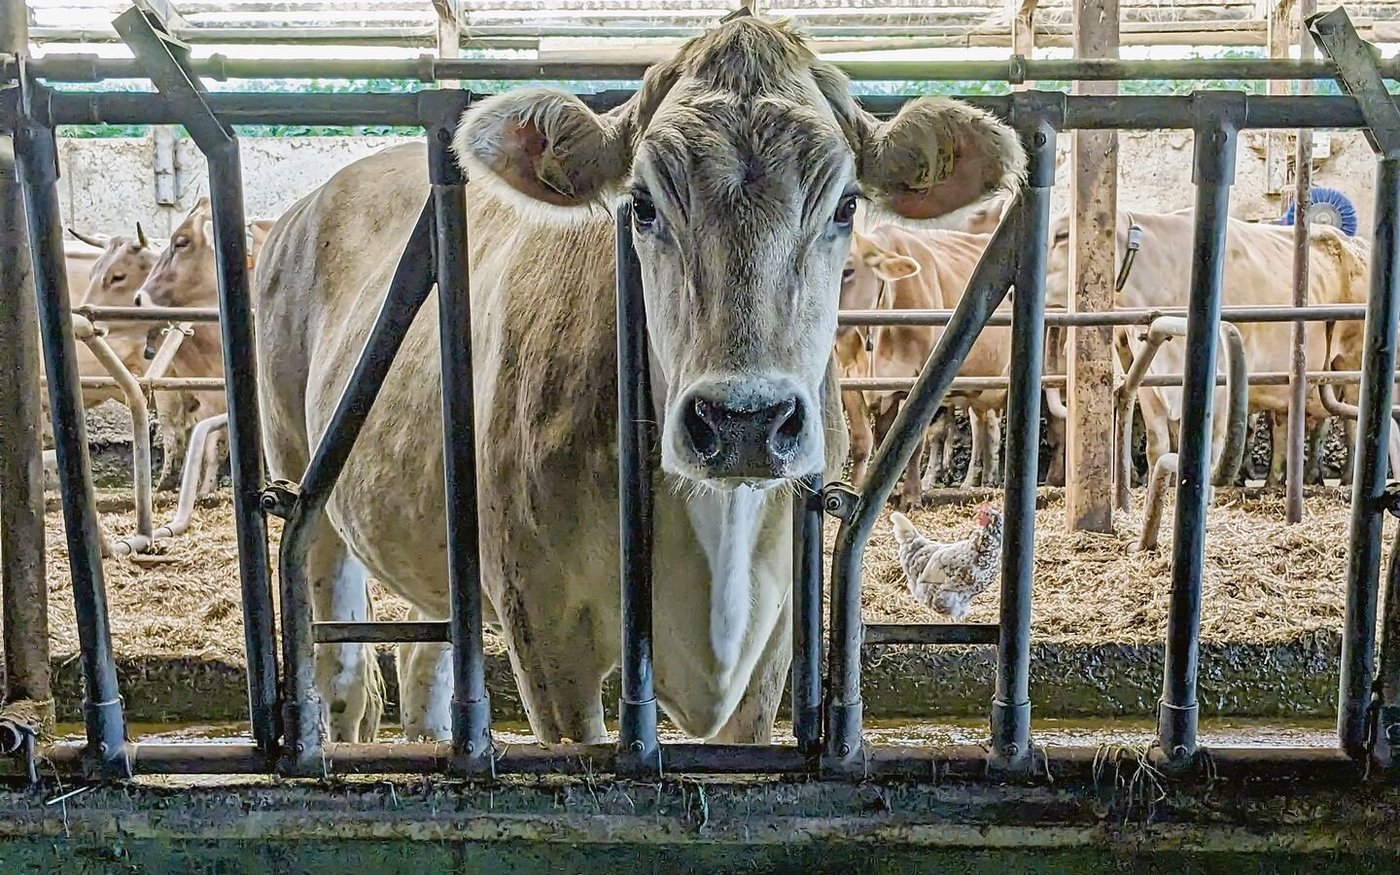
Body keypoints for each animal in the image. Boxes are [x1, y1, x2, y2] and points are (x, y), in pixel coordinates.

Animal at [835, 225, 1011, 508]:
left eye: (847, 269)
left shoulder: (916, 382)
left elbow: (913, 442)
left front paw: (911, 496)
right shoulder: (851, 381)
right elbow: (866, 442)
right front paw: (863, 490)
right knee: (983, 425)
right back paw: (978, 481)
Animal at [1044, 208, 1371, 487]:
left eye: (1062, 235)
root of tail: (1356, 244)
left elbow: (1209, 447)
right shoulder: (1150, 382)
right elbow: (1159, 447)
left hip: (1351, 359)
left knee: (1351, 421)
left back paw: (1344, 480)